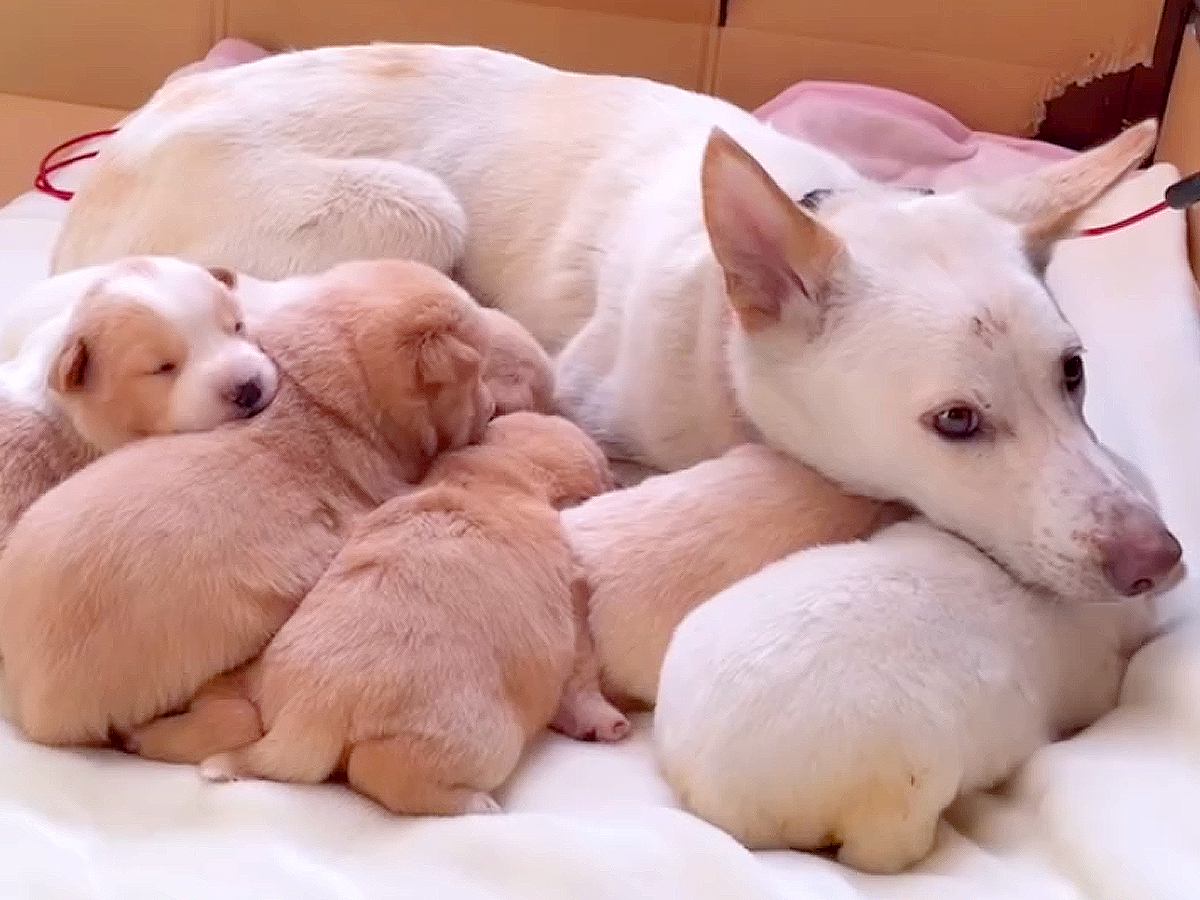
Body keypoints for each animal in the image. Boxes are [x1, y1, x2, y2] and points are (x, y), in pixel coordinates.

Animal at [130, 415, 624, 816]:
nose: (619, 480)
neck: (489, 475)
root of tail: (312, 711)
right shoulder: (574, 598)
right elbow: (582, 675)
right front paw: (605, 720)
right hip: (471, 740)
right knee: (381, 772)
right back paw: (474, 804)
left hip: (249, 681)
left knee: (223, 719)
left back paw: (142, 736)